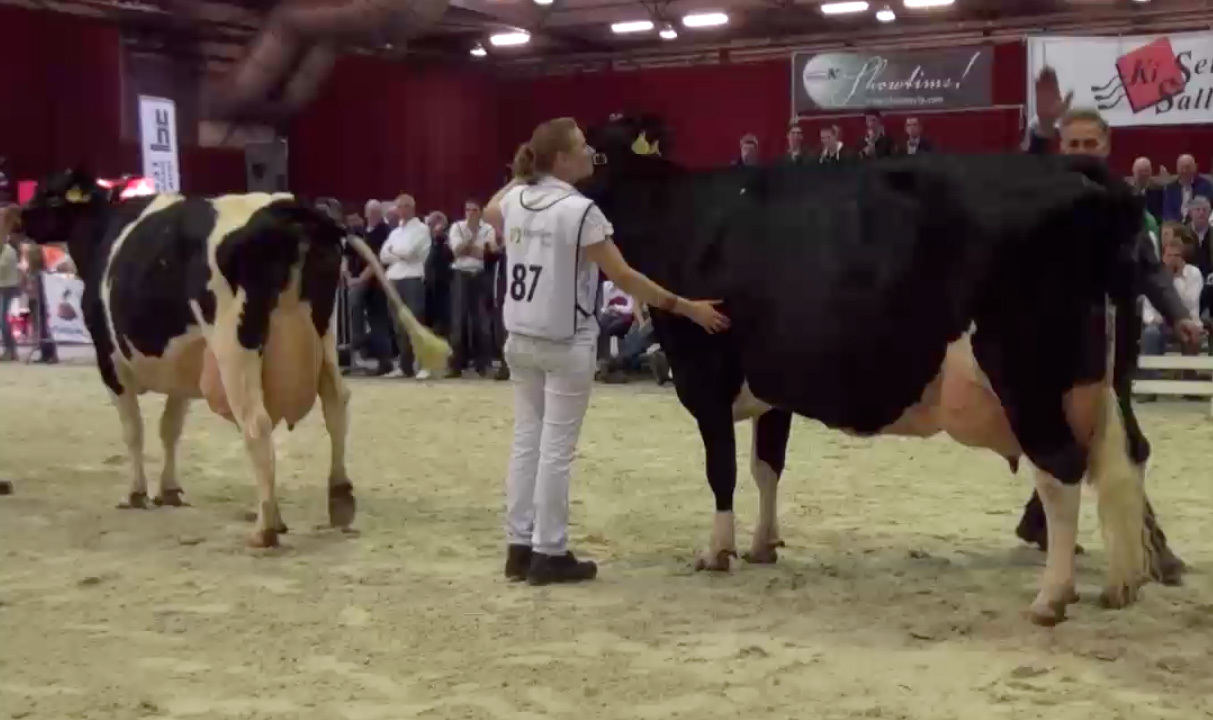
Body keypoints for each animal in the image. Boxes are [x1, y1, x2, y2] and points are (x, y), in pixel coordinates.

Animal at [17, 169, 451, 547]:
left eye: (48, 193)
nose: (16, 215)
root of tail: (291, 210)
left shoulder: (110, 362)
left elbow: (134, 431)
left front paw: (137, 493)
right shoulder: (184, 365)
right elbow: (169, 428)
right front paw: (169, 490)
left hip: (234, 346)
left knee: (256, 424)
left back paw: (266, 528)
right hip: (323, 335)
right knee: (336, 405)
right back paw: (339, 501)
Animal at [584, 118, 1159, 625]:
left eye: (596, 152)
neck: (683, 217)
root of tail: (1078, 171)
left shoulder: (704, 376)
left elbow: (720, 470)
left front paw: (715, 551)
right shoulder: (773, 391)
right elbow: (766, 466)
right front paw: (763, 544)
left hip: (1026, 375)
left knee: (1061, 470)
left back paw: (1052, 598)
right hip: (1101, 381)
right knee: (1127, 457)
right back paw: (1123, 584)